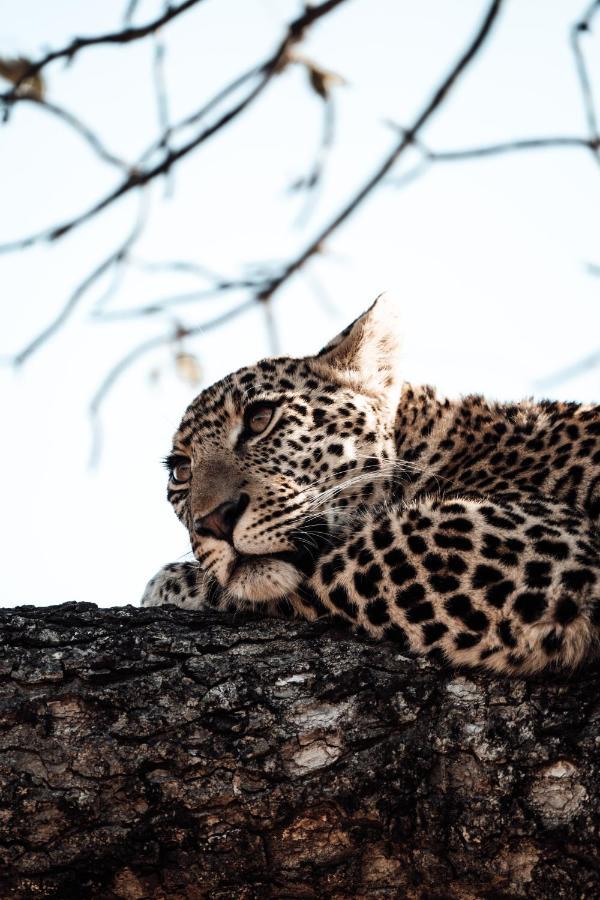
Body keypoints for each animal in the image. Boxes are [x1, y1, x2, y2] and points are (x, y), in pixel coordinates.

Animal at [142, 296, 600, 676]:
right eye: (180, 472)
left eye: (260, 419)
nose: (216, 522)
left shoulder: (542, 542)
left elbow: (331, 565)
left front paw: (169, 583)